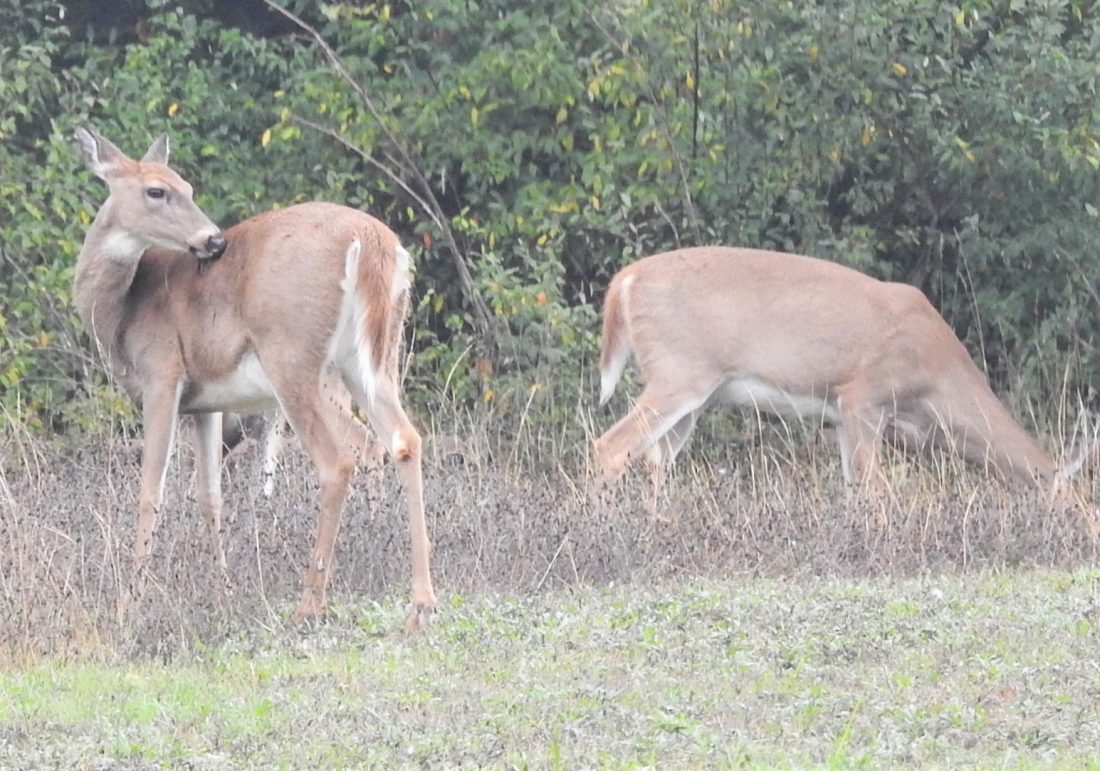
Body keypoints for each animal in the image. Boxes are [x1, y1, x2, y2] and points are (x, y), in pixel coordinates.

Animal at [72, 125, 434, 629]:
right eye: (159, 189)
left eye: (185, 187)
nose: (213, 241)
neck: (124, 310)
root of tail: (372, 242)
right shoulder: (205, 403)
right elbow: (209, 496)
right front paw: (223, 595)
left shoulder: (162, 376)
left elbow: (150, 490)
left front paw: (130, 603)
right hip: (374, 357)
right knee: (404, 438)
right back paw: (421, 600)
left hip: (294, 357)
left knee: (341, 458)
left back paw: (309, 602)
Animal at [594, 246, 1070, 501]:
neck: (937, 377)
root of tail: (626, 280)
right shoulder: (863, 396)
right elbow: (874, 486)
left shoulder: (840, 416)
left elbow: (852, 486)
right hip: (679, 373)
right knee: (610, 446)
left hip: (692, 394)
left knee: (655, 459)